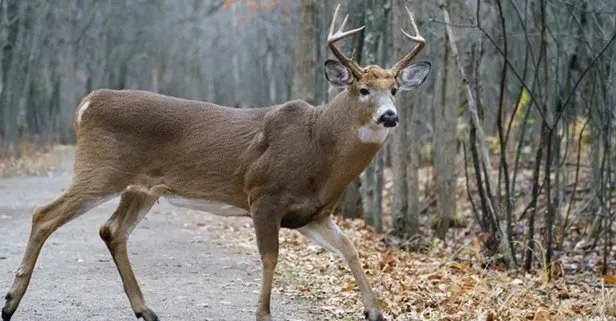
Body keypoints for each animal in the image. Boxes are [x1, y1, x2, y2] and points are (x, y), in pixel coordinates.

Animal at [2, 4, 430, 320]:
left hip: (141, 187)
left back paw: (146, 309)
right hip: (101, 169)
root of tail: (87, 103)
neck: (318, 146)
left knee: (112, 230)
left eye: (395, 89)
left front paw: (374, 312)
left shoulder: (313, 214)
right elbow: (270, 256)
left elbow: (351, 250)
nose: (389, 116)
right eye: (363, 89)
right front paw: (263, 313)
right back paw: (11, 302)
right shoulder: (263, 192)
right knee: (44, 214)